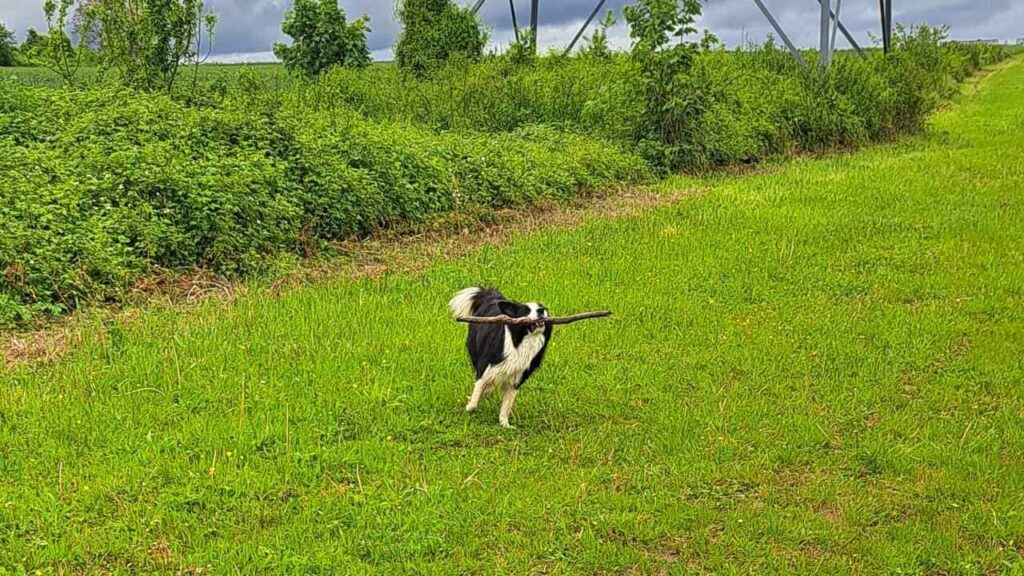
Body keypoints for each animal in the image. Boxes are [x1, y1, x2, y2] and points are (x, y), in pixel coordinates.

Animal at [448, 286, 552, 426]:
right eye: (526, 310)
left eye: (541, 307)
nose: (542, 311)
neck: (522, 341)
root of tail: (492, 297)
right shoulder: (484, 364)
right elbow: (478, 388)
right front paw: (470, 407)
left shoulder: (518, 377)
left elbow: (507, 404)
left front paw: (504, 424)